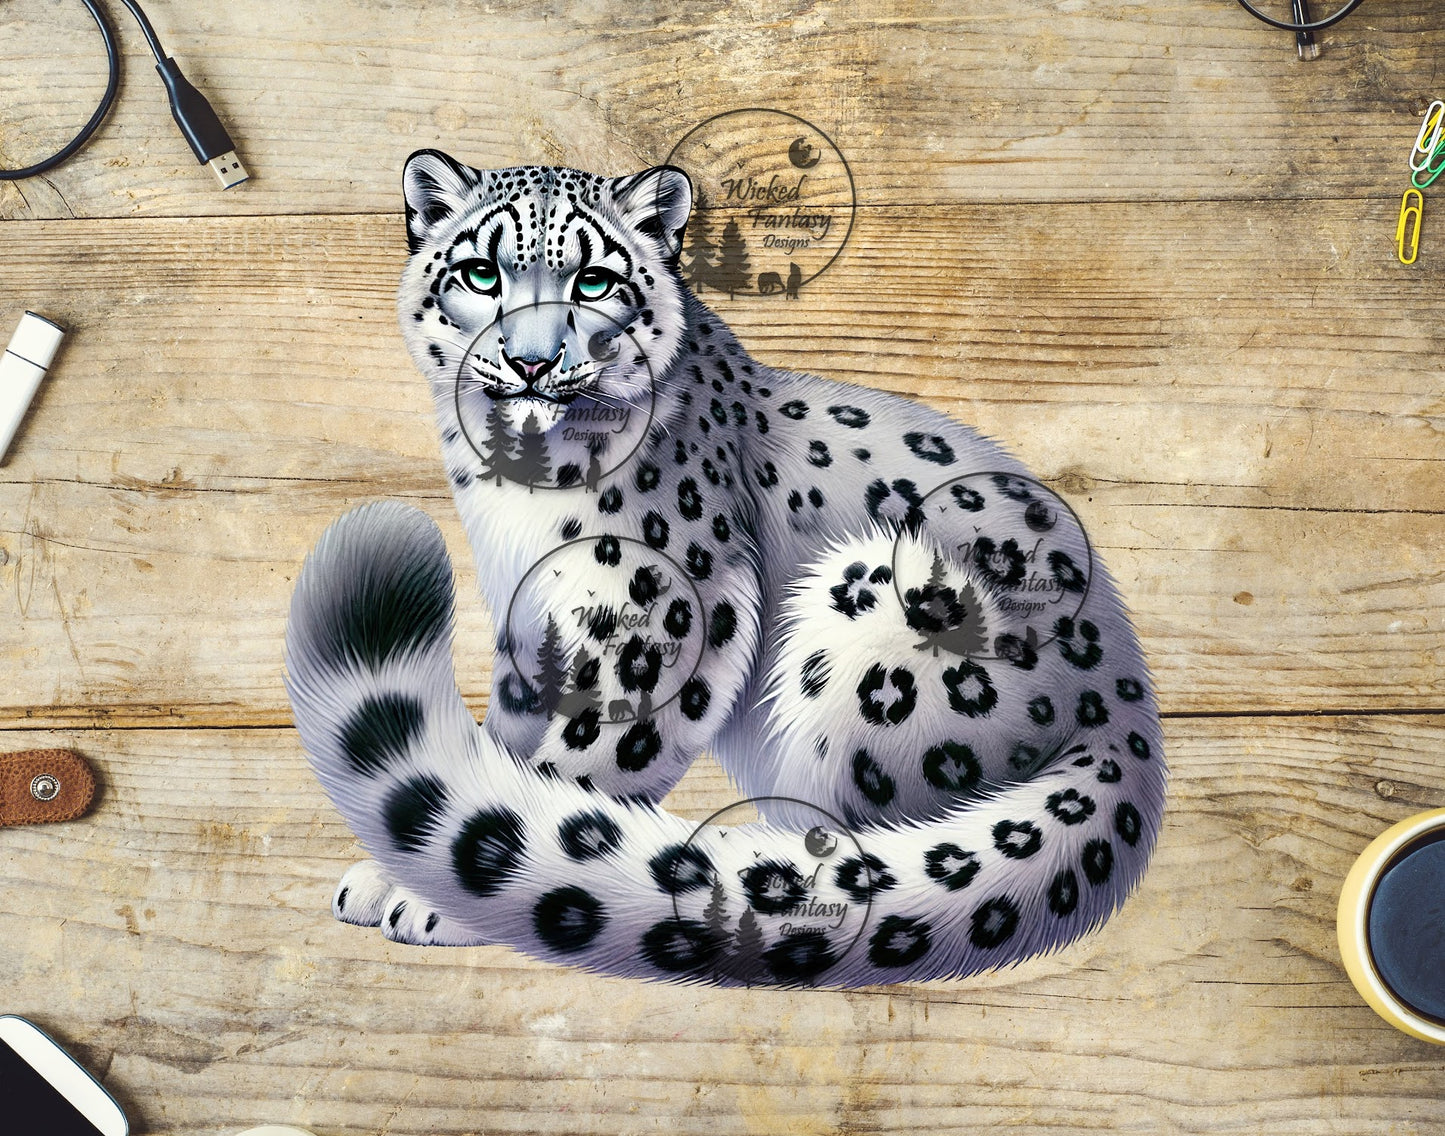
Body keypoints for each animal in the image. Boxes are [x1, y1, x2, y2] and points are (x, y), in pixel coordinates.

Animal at [283, 149, 1167, 986]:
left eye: (594, 280)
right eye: (481, 272)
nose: (531, 364)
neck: (516, 484)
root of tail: (1127, 713)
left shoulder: (664, 615)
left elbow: (592, 760)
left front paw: (437, 895)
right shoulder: (530, 622)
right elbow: (504, 738)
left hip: (878, 622)